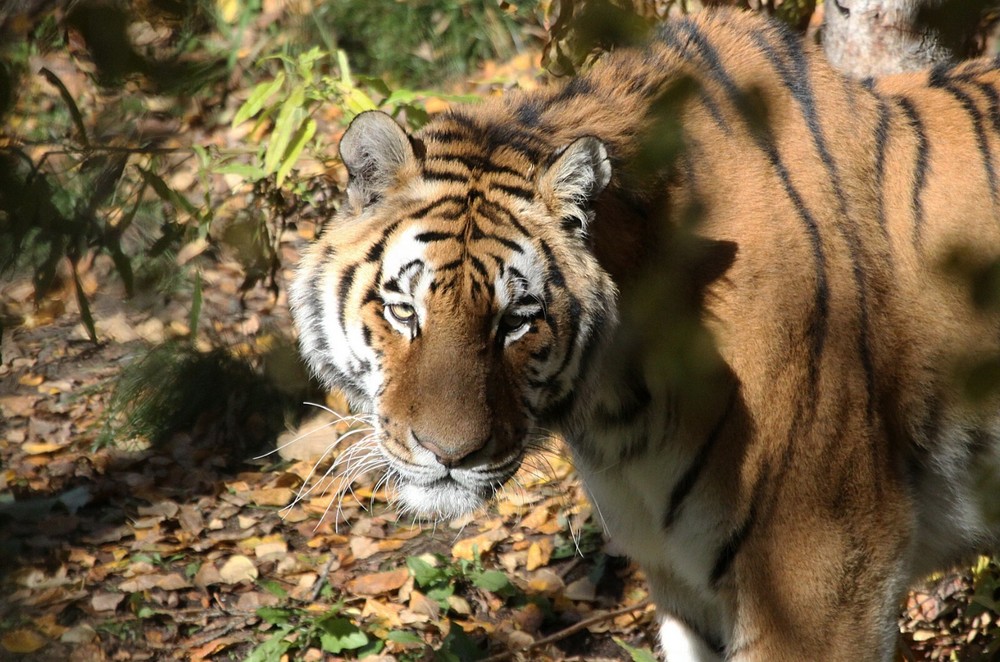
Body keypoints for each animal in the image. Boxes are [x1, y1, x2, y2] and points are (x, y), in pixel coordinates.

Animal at [290, 7, 1000, 661]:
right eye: (404, 311)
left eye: (515, 321)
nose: (449, 455)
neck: (617, 410)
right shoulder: (683, 579)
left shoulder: (821, 577)